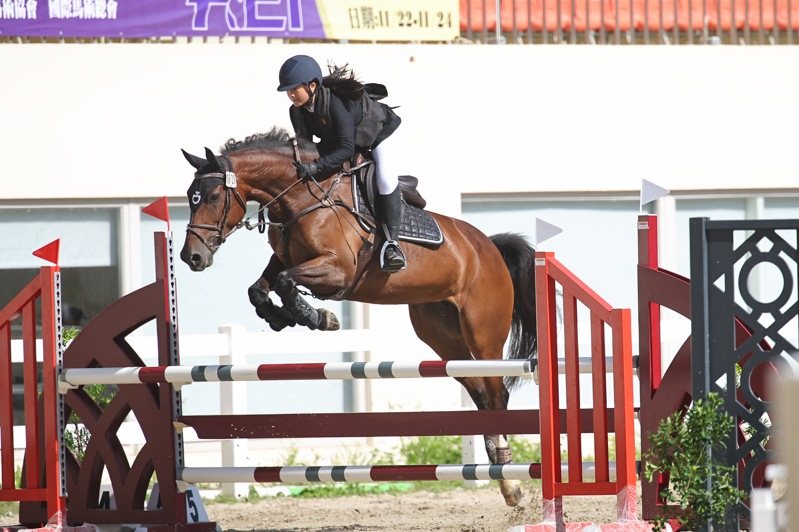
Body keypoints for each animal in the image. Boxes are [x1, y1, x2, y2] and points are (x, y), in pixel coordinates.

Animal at [181, 129, 536, 508]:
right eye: (190, 197)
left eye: (212, 196)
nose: (192, 256)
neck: (299, 198)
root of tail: (489, 247)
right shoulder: (285, 258)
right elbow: (260, 289)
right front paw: (282, 316)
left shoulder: (338, 270)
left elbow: (285, 281)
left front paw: (318, 316)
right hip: (442, 336)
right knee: (480, 392)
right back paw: (503, 476)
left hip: (482, 333)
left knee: (496, 393)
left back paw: (511, 481)